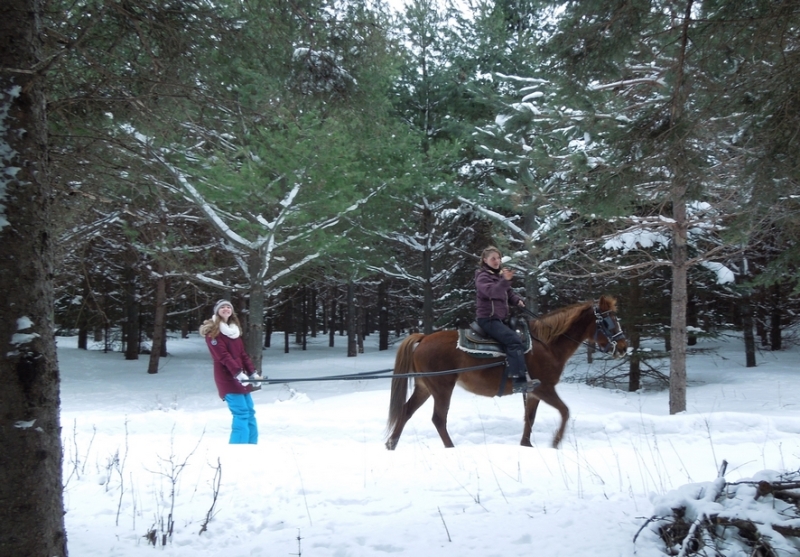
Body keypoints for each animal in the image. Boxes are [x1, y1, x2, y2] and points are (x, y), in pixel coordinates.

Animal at [384, 296, 628, 448]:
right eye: (608, 322)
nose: (624, 347)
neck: (548, 345)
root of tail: (423, 338)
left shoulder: (533, 392)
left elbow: (529, 418)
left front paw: (526, 444)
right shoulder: (545, 389)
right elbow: (565, 411)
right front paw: (555, 442)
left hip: (425, 387)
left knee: (406, 411)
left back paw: (391, 444)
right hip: (442, 388)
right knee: (438, 419)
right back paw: (450, 447)